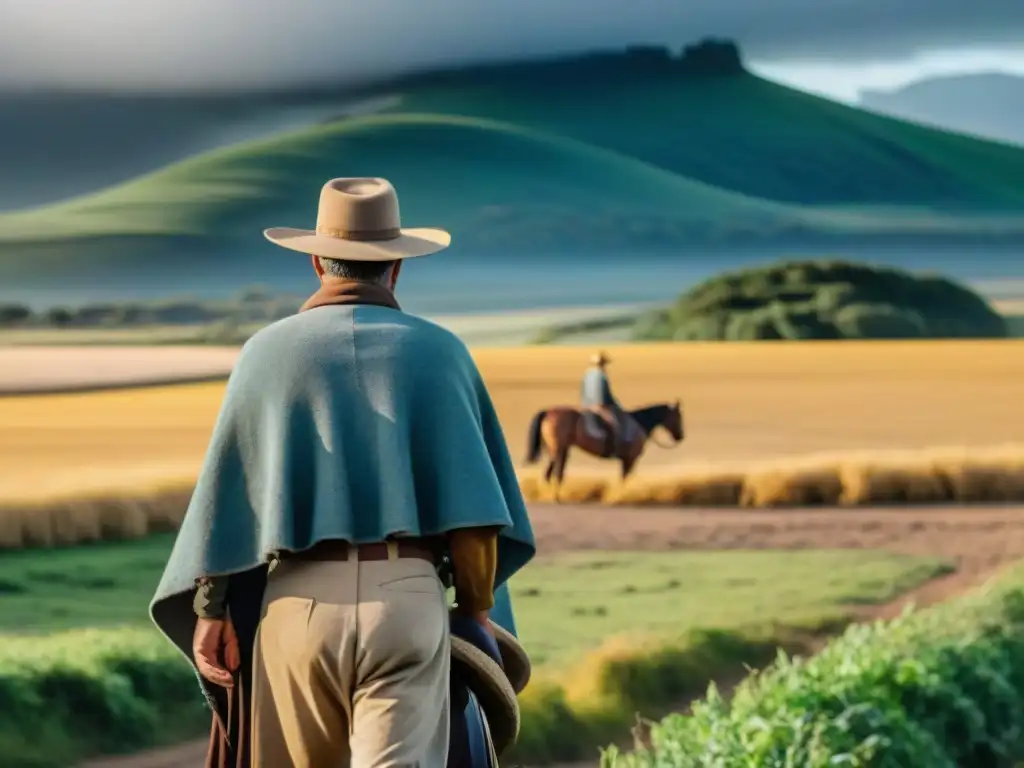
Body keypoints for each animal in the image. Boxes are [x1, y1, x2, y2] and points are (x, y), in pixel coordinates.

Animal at [524, 403, 684, 493]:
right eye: (678, 416)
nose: (680, 436)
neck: (639, 423)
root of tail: (549, 412)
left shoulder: (627, 460)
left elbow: (625, 478)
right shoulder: (630, 459)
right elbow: (625, 478)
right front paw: (621, 495)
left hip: (557, 451)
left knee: (549, 474)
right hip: (560, 451)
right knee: (557, 474)